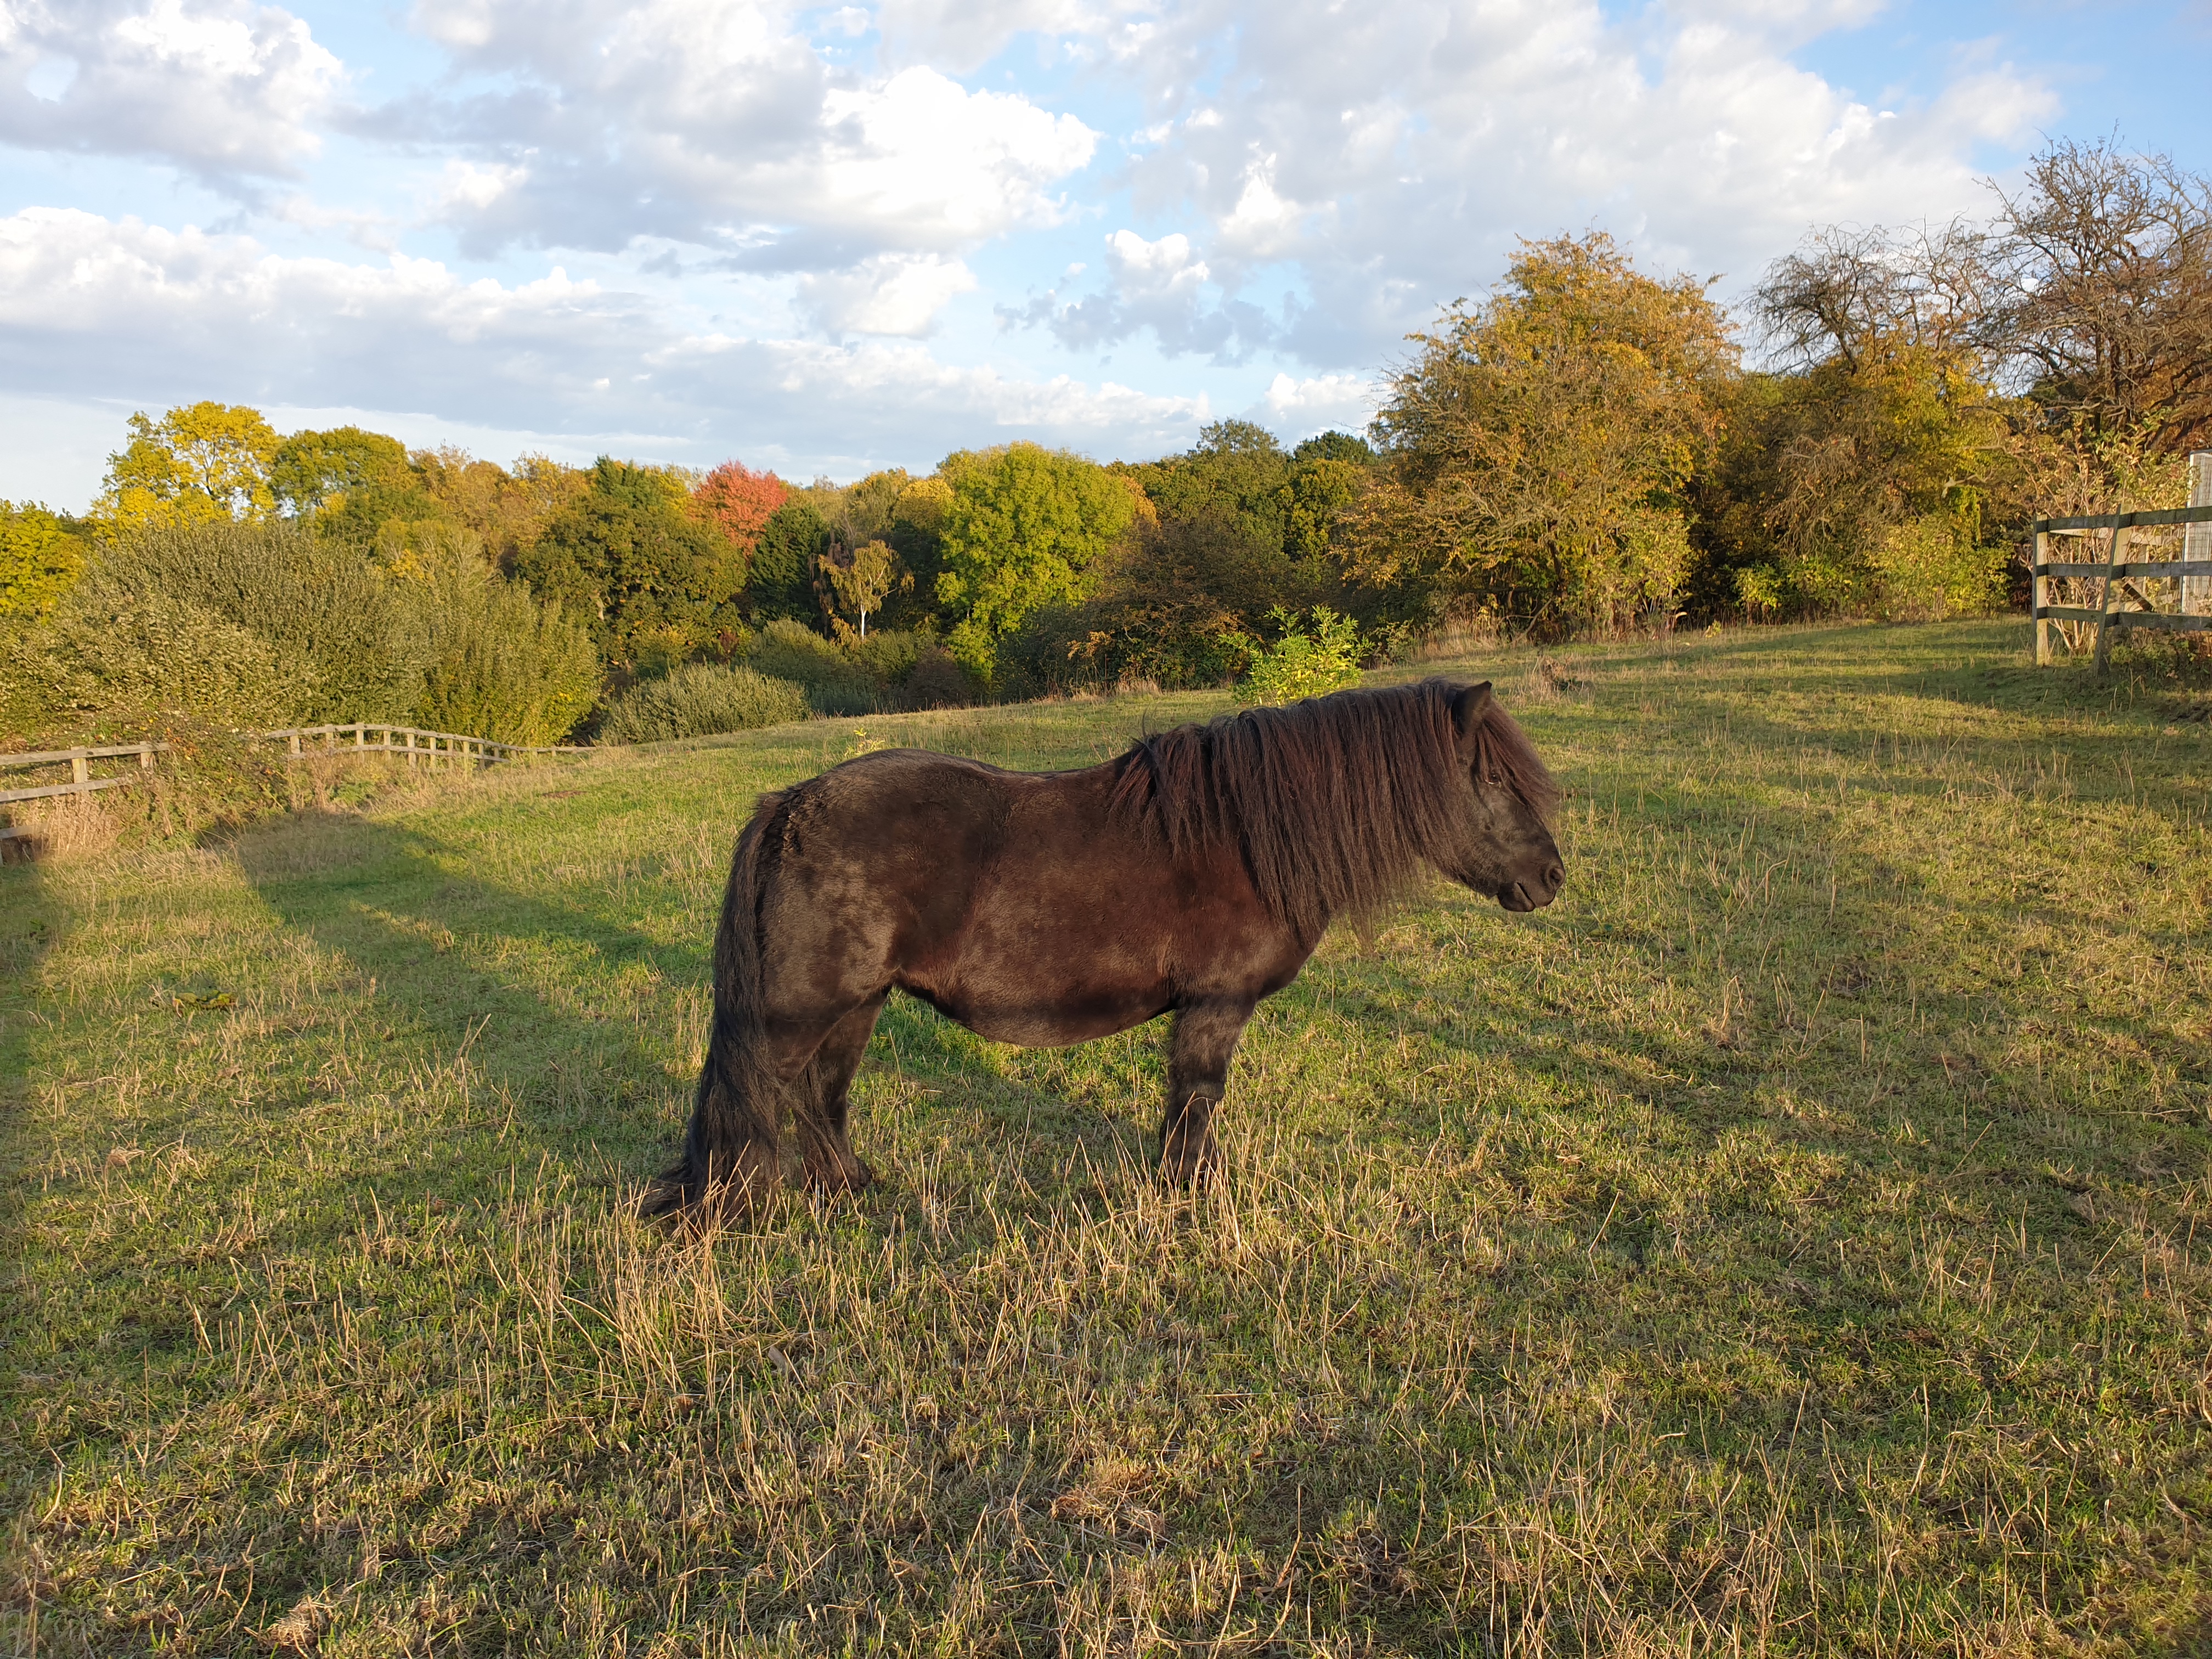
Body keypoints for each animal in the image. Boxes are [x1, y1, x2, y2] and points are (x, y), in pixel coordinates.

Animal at [646, 676, 1566, 1221]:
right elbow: (1197, 1100)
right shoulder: (1215, 1007)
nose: (1551, 878)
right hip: (803, 1012)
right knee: (757, 1096)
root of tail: (792, 804)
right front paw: (1190, 1197)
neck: (1245, 836)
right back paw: (729, 1211)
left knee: (819, 1099)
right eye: (1493, 779)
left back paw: (851, 1190)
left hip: (857, 1006)